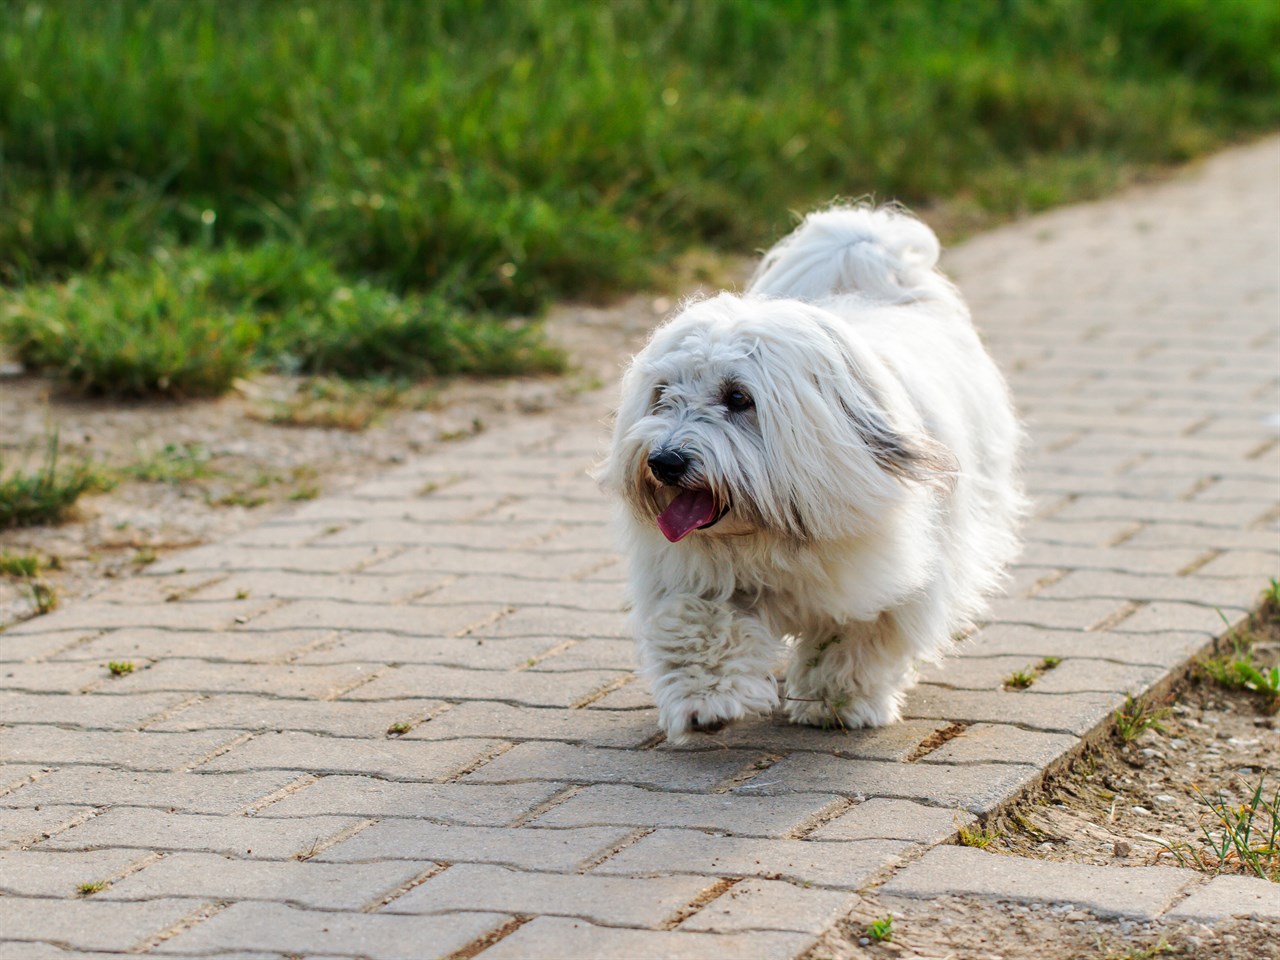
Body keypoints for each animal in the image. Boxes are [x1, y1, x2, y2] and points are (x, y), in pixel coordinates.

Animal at [596, 204, 1018, 742]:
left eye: (739, 397)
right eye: (663, 394)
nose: (664, 462)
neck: (773, 532)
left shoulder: (883, 574)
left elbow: (854, 637)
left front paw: (837, 700)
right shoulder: (692, 574)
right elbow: (699, 624)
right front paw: (705, 700)